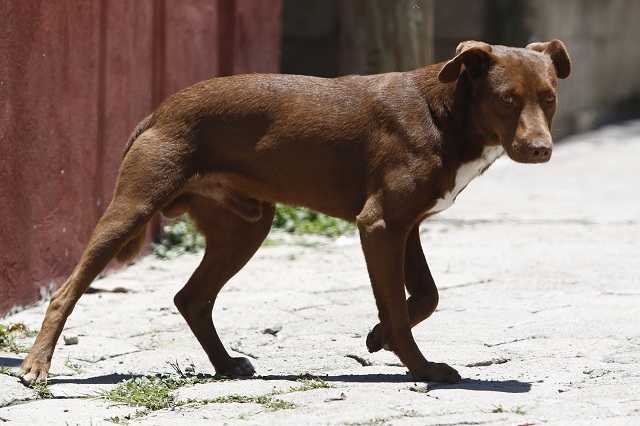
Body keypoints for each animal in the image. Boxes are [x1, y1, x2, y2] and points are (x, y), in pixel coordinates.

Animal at [18, 40, 568, 386]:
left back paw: (225, 365)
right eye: (506, 100)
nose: (541, 150)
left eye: (549, 98)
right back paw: (36, 367)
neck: (444, 113)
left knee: (191, 297)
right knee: (65, 292)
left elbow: (425, 296)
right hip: (132, 208)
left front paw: (378, 336)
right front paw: (421, 367)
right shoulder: (380, 224)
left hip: (246, 226)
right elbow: (399, 305)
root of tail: (159, 110)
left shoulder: (405, 226)